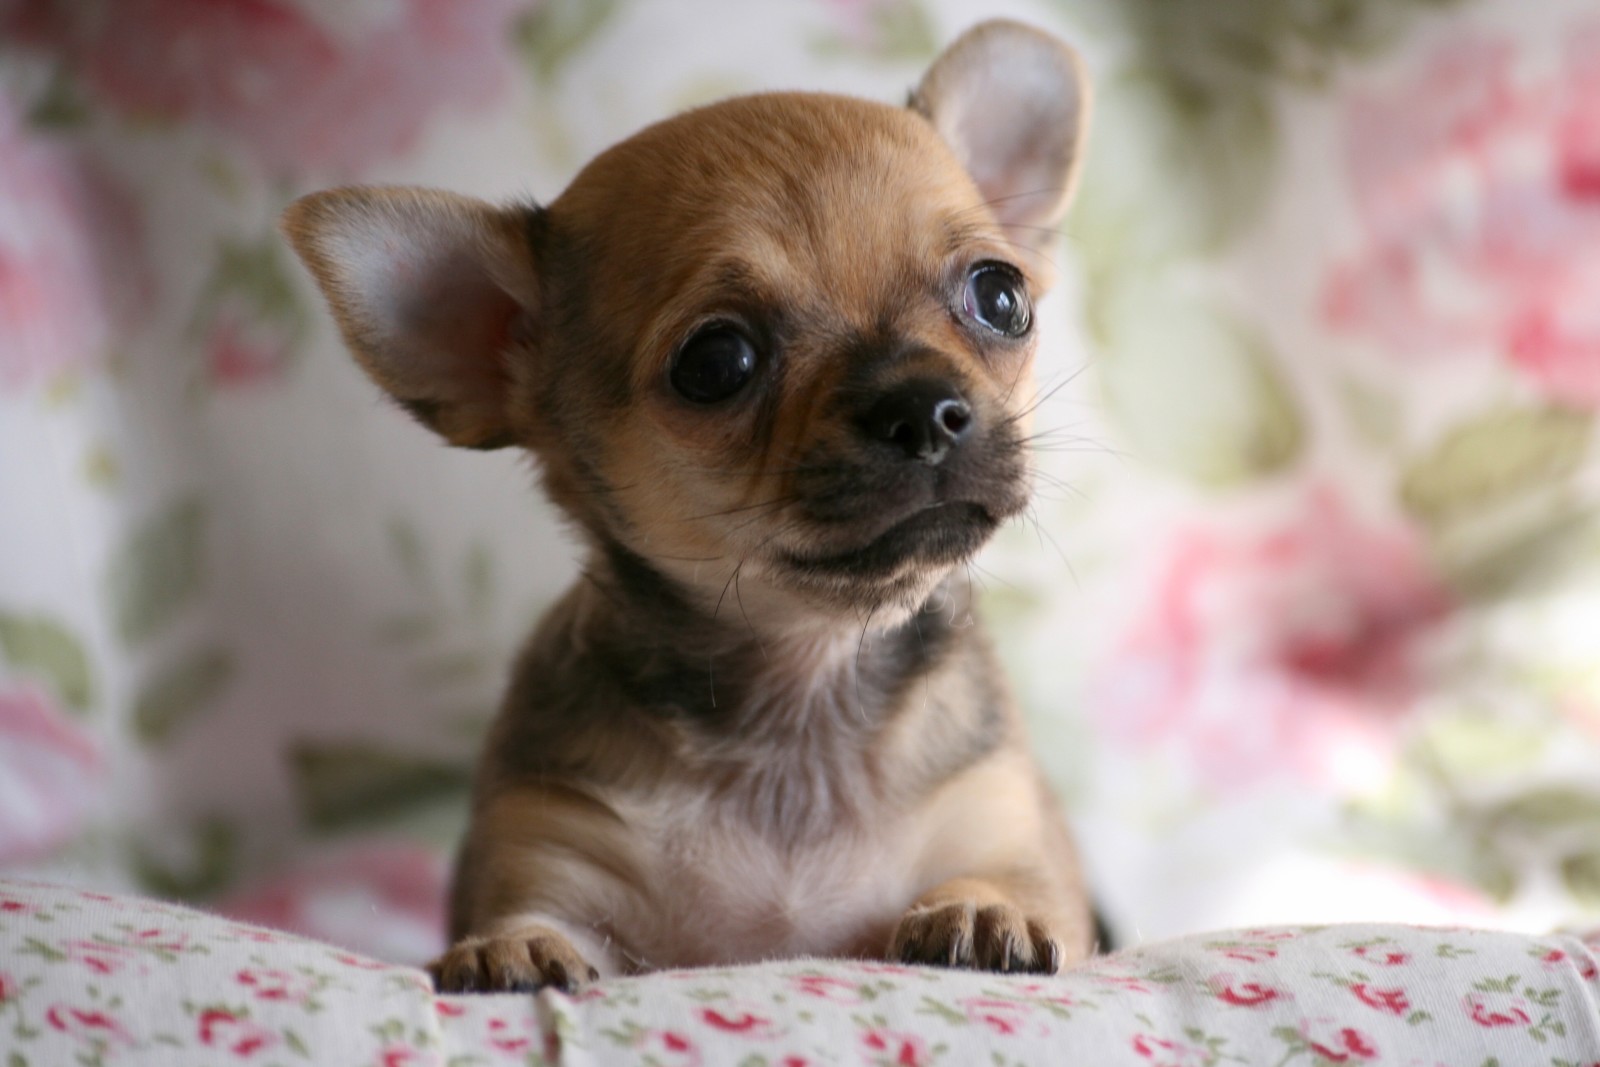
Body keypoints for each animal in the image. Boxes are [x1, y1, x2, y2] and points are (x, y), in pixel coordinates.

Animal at [284, 18, 1088, 991]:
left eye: (1000, 296)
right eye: (717, 362)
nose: (924, 406)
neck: (804, 684)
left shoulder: (1002, 825)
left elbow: (1008, 884)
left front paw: (982, 908)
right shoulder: (553, 847)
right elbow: (533, 917)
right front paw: (513, 945)